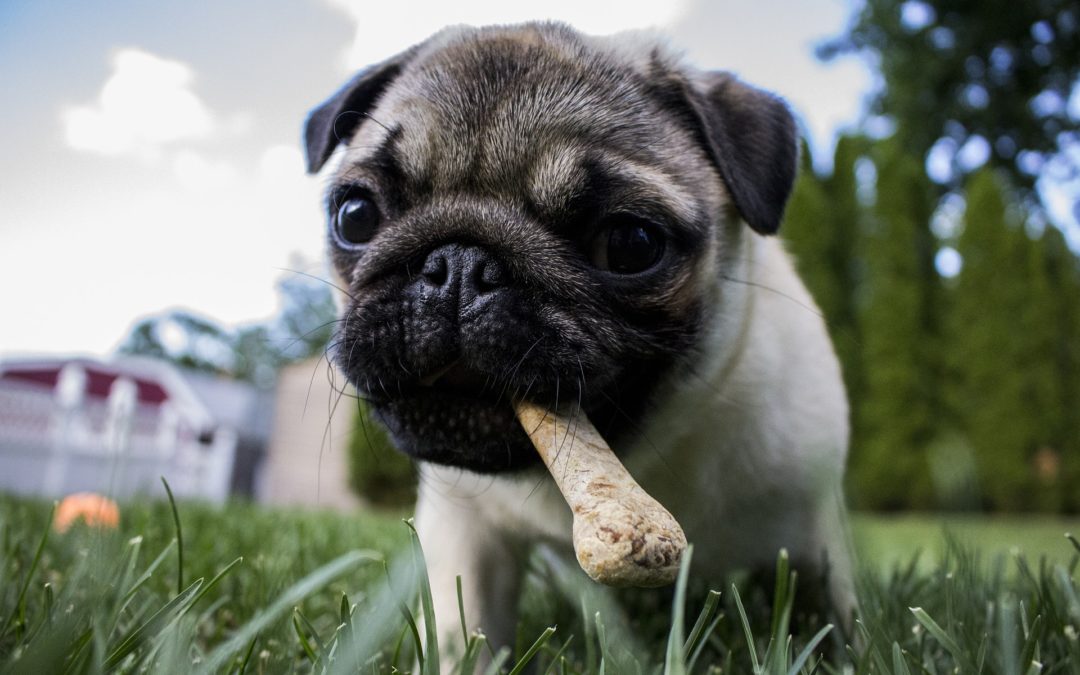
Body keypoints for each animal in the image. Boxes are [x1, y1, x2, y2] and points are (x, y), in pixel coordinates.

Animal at [302, 22, 851, 656]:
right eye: (356, 215)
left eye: (631, 244)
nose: (459, 265)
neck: (640, 456)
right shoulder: (465, 531)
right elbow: (462, 633)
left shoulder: (814, 535)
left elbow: (835, 621)